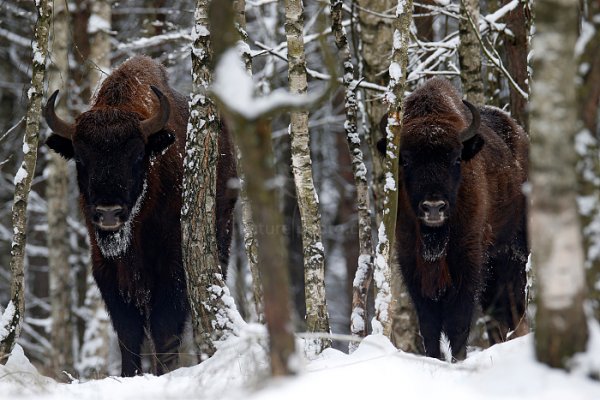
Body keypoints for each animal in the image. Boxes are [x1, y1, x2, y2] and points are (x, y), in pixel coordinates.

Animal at [44, 55, 238, 376]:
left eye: (137, 156)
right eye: (81, 160)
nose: (108, 213)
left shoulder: (171, 266)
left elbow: (164, 328)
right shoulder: (107, 271)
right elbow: (128, 333)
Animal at [382, 79, 528, 362]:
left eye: (456, 158)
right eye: (405, 160)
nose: (434, 207)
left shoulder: (467, 260)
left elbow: (458, 321)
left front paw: (458, 359)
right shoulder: (411, 261)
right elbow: (429, 324)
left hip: (514, 254)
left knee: (513, 307)